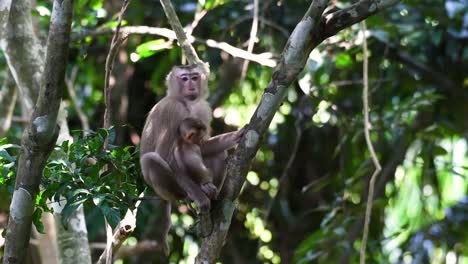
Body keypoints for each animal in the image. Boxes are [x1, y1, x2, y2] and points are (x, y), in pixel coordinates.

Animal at [141, 63, 245, 255]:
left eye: (195, 77)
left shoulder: (203, 108)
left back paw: (213, 195)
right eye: (184, 78)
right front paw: (200, 199)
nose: (191, 86)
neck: (186, 103)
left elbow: (202, 146)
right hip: (168, 189)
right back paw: (191, 195)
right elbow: (165, 155)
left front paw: (236, 136)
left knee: (218, 154)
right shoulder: (172, 110)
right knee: (151, 159)